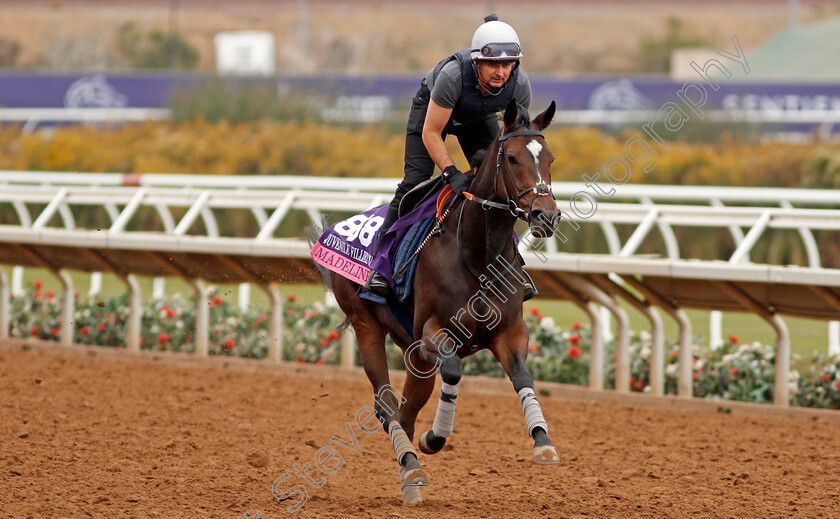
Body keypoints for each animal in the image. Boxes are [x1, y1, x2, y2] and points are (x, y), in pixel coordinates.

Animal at [328, 99, 556, 506]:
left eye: (550, 159)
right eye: (513, 158)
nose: (547, 215)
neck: (478, 255)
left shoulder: (510, 331)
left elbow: (522, 377)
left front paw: (542, 441)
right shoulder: (431, 333)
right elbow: (452, 370)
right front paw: (435, 437)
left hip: (414, 357)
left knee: (406, 408)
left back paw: (409, 476)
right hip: (367, 325)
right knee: (386, 404)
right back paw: (412, 465)